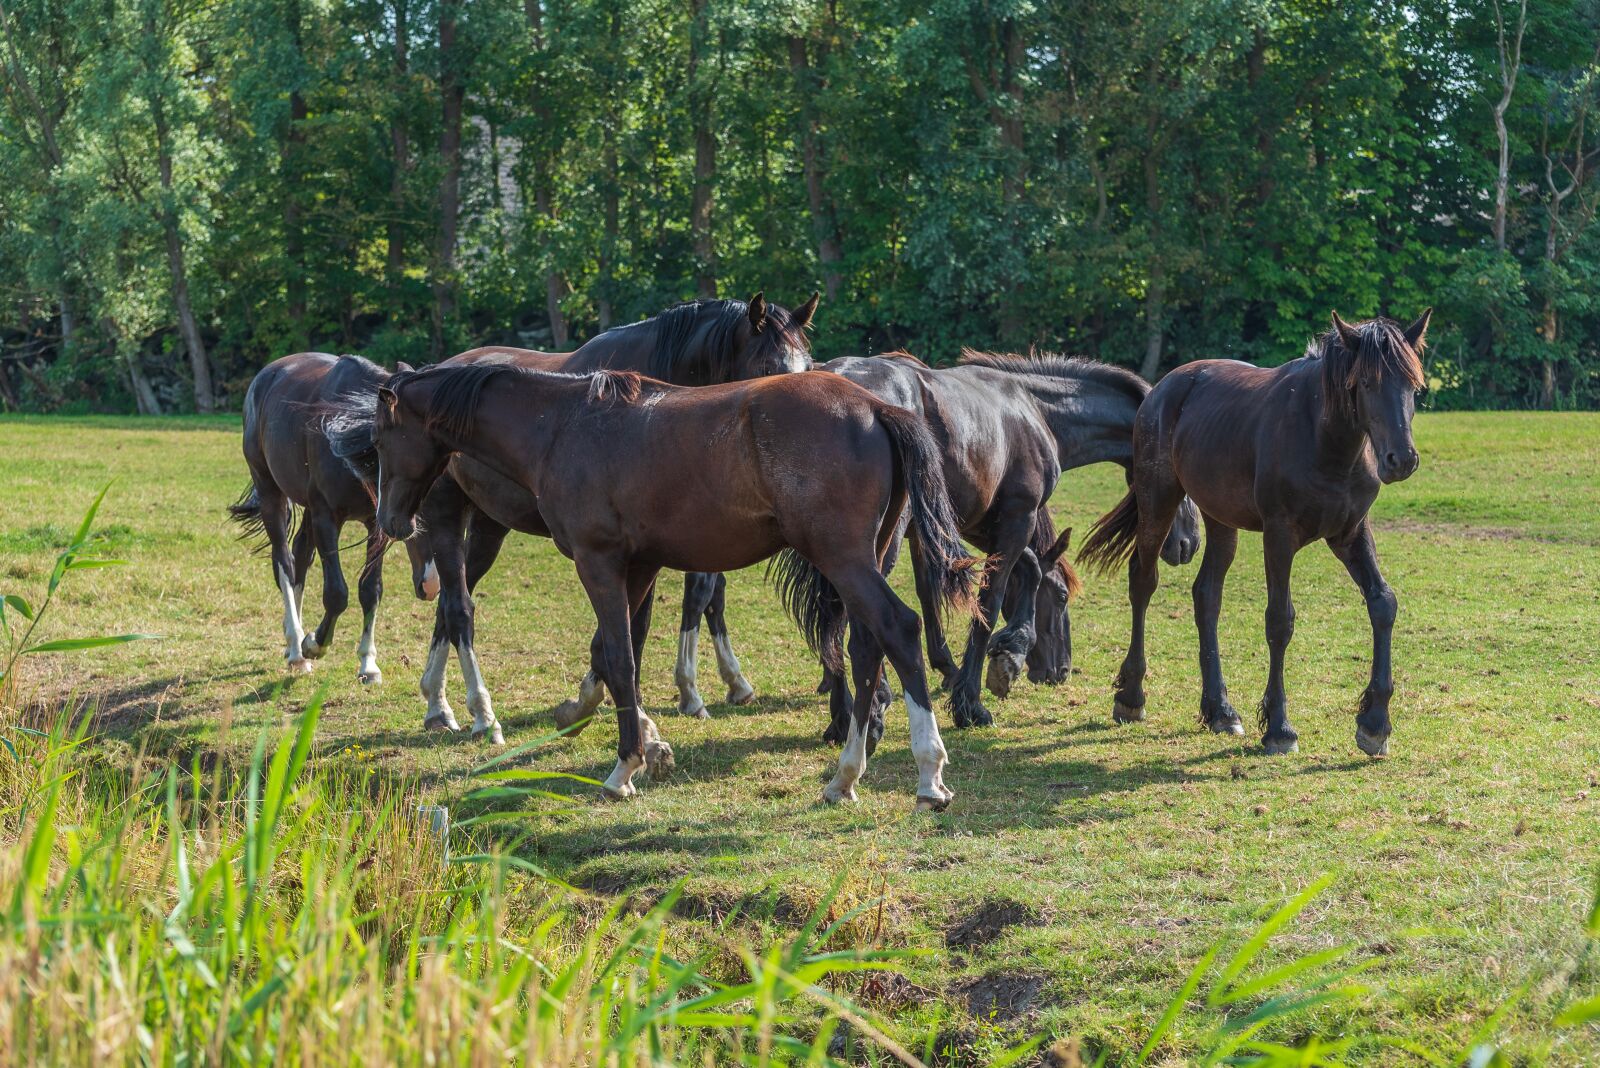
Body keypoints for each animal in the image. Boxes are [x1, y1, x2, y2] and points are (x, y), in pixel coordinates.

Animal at [229, 352, 434, 682]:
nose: (431, 585)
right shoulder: (326, 518)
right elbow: (337, 593)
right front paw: (314, 643)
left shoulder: (376, 525)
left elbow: (370, 590)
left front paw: (368, 664)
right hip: (272, 494)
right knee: (284, 563)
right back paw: (297, 650)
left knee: (300, 556)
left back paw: (294, 641)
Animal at [329, 362, 980, 808]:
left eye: (382, 441)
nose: (392, 520)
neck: (563, 427)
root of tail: (876, 408)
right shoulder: (637, 568)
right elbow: (619, 655)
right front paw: (638, 739)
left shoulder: (598, 563)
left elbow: (618, 654)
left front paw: (623, 768)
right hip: (865, 560)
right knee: (868, 647)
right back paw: (845, 777)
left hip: (843, 560)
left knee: (898, 629)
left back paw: (929, 773)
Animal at [362, 294, 817, 744]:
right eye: (768, 367)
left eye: (808, 364)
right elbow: (641, 625)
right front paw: (648, 707)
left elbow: (693, 602)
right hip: (446, 517)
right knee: (458, 607)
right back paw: (472, 712)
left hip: (491, 527)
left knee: (451, 605)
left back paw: (437, 703)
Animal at [814, 351, 1201, 741]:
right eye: (1062, 597)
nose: (1191, 543)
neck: (1034, 410)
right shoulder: (1018, 517)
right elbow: (992, 598)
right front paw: (972, 701)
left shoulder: (979, 525)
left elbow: (1027, 570)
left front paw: (1009, 651)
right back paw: (869, 710)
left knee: (830, 620)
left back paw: (842, 715)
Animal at [1077, 310, 1430, 757]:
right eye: (1366, 383)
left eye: (1413, 385)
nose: (1401, 460)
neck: (1324, 441)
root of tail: (1162, 390)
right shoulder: (1279, 535)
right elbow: (1280, 620)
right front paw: (1280, 727)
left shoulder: (1351, 533)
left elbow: (1382, 603)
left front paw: (1375, 724)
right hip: (1159, 500)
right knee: (1143, 579)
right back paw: (1131, 697)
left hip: (1220, 519)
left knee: (1206, 595)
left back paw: (1221, 711)